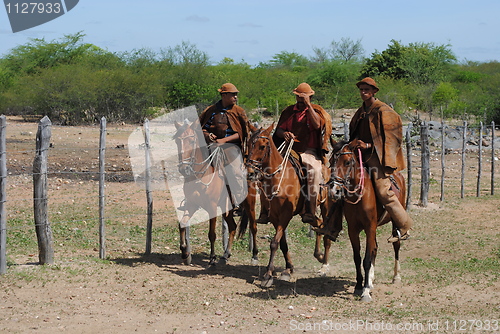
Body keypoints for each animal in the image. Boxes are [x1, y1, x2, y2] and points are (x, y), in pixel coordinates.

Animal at [173, 120, 258, 266]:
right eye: (178, 141)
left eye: (192, 140)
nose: (184, 168)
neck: (201, 175)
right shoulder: (191, 205)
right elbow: (182, 224)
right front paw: (184, 252)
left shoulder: (212, 207)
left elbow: (211, 234)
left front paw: (212, 258)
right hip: (226, 208)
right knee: (233, 226)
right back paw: (226, 254)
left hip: (250, 206)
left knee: (253, 227)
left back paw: (255, 256)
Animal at [245, 123, 338, 288]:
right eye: (249, 144)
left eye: (262, 146)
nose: (250, 173)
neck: (279, 179)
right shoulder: (274, 217)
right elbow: (282, 243)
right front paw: (288, 269)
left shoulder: (285, 215)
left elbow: (274, 243)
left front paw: (268, 275)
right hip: (306, 213)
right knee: (319, 224)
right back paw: (319, 255)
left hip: (326, 206)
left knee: (325, 229)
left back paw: (324, 265)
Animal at [328, 140, 406, 302]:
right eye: (330, 161)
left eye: (348, 162)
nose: (334, 190)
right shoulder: (353, 229)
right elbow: (357, 258)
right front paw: (360, 286)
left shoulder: (370, 227)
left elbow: (367, 259)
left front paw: (365, 293)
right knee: (375, 248)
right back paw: (370, 281)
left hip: (394, 222)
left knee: (396, 245)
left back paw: (396, 277)